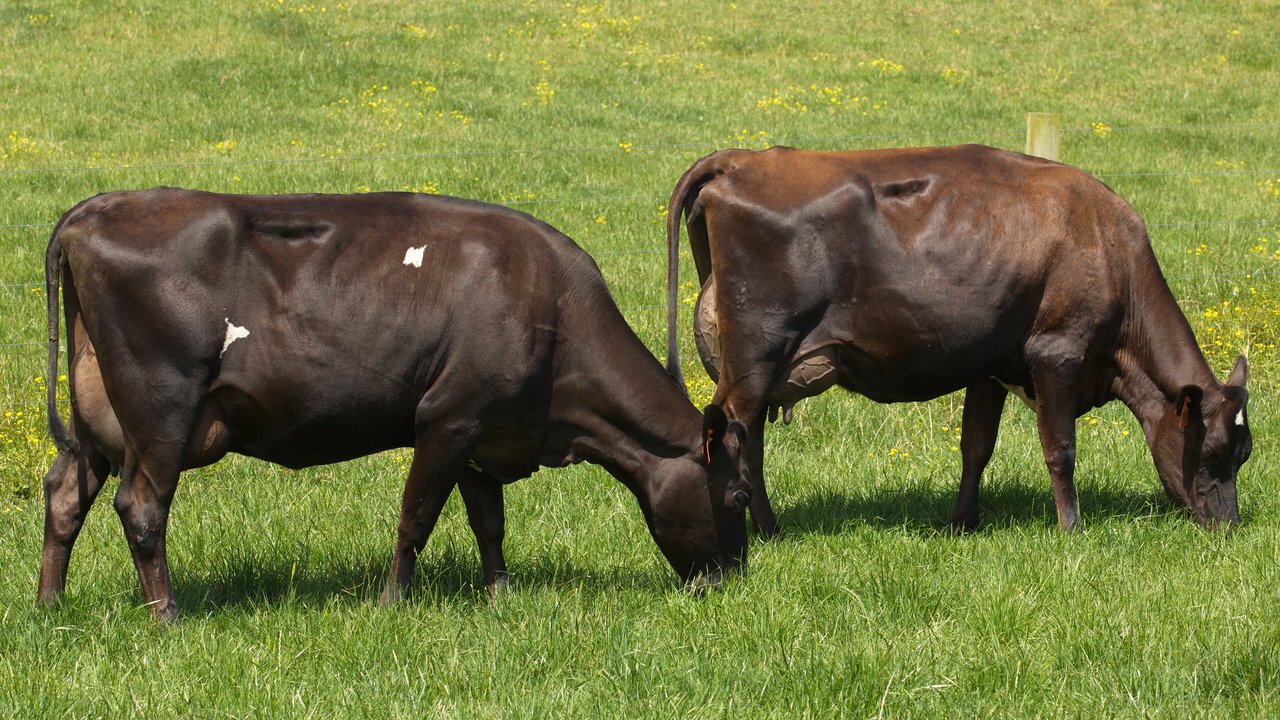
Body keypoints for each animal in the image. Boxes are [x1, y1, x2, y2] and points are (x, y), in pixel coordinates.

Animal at [42, 188, 747, 620]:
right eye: (739, 495)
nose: (735, 581)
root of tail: (94, 211)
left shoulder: (485, 431)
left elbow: (489, 522)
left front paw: (501, 595)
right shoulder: (449, 418)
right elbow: (416, 518)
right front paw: (390, 603)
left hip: (100, 418)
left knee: (65, 492)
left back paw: (50, 605)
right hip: (161, 408)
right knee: (141, 507)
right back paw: (168, 617)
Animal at [665, 144, 1254, 532]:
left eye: (1245, 454)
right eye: (1213, 451)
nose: (1227, 527)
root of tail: (742, 159)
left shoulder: (991, 362)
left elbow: (977, 446)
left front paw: (962, 522)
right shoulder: (1057, 350)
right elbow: (1060, 448)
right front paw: (1071, 529)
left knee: (749, 438)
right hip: (756, 355)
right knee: (736, 434)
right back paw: (765, 532)